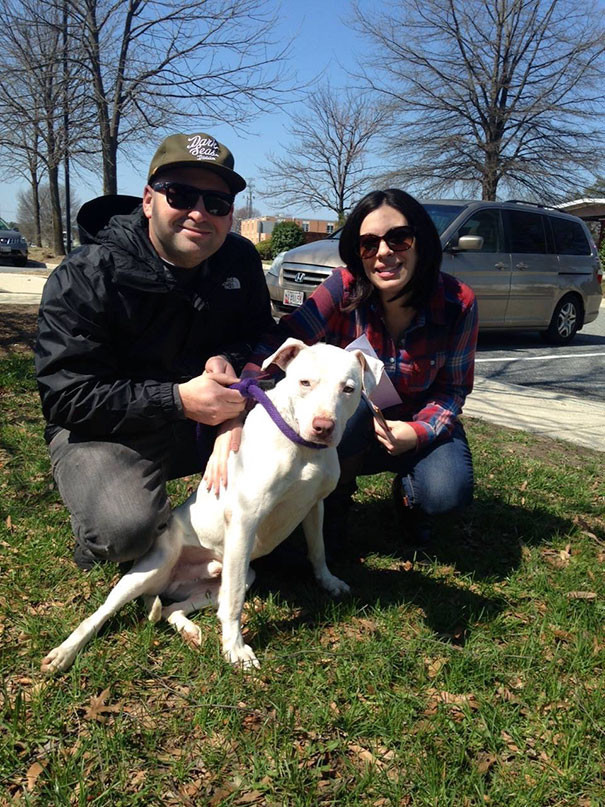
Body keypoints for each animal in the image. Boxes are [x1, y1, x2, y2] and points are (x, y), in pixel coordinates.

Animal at [42, 338, 382, 672]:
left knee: (171, 609)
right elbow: (233, 602)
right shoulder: (245, 520)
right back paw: (64, 652)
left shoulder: (313, 505)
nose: (323, 427)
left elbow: (317, 549)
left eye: (348, 389)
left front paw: (329, 581)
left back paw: (189, 630)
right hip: (154, 567)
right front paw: (236, 649)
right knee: (101, 613)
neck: (301, 445)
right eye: (305, 382)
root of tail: (166, 582)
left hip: (226, 579)